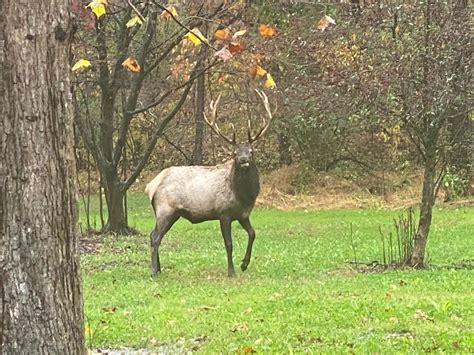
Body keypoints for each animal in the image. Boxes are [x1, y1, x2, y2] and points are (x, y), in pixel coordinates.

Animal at [146, 89, 274, 278]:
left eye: (251, 151)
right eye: (234, 152)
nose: (243, 160)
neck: (244, 196)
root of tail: (150, 186)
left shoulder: (243, 215)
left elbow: (252, 234)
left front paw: (244, 264)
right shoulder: (223, 213)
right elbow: (229, 244)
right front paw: (231, 272)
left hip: (172, 214)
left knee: (153, 234)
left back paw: (159, 268)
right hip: (165, 209)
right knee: (155, 237)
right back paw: (154, 271)